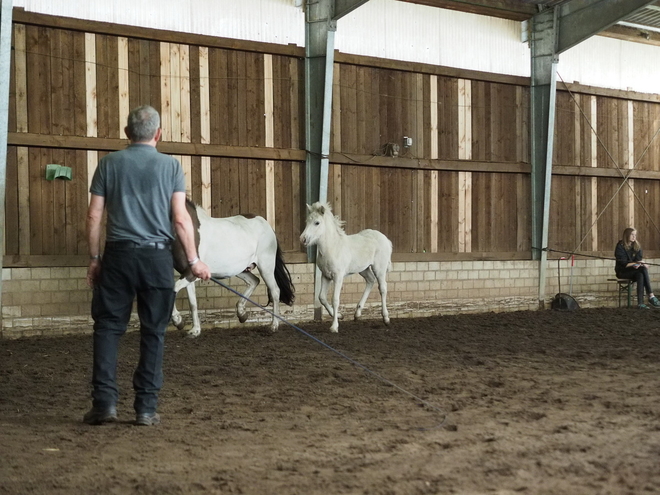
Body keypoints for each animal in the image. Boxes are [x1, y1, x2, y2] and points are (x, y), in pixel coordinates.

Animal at [173, 201, 294, 338]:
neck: (190, 232)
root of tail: (267, 225)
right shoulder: (188, 274)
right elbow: (192, 303)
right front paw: (195, 330)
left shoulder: (191, 274)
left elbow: (174, 289)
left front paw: (178, 321)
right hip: (241, 270)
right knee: (254, 281)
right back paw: (242, 314)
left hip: (266, 266)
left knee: (275, 291)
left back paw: (273, 325)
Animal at [300, 202, 392, 334]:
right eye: (307, 221)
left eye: (317, 222)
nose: (303, 239)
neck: (332, 248)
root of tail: (385, 239)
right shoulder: (325, 275)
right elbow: (322, 297)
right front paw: (339, 315)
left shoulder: (338, 277)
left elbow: (335, 300)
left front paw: (334, 327)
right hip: (363, 269)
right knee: (370, 280)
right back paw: (357, 313)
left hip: (379, 268)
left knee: (383, 288)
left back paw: (386, 318)